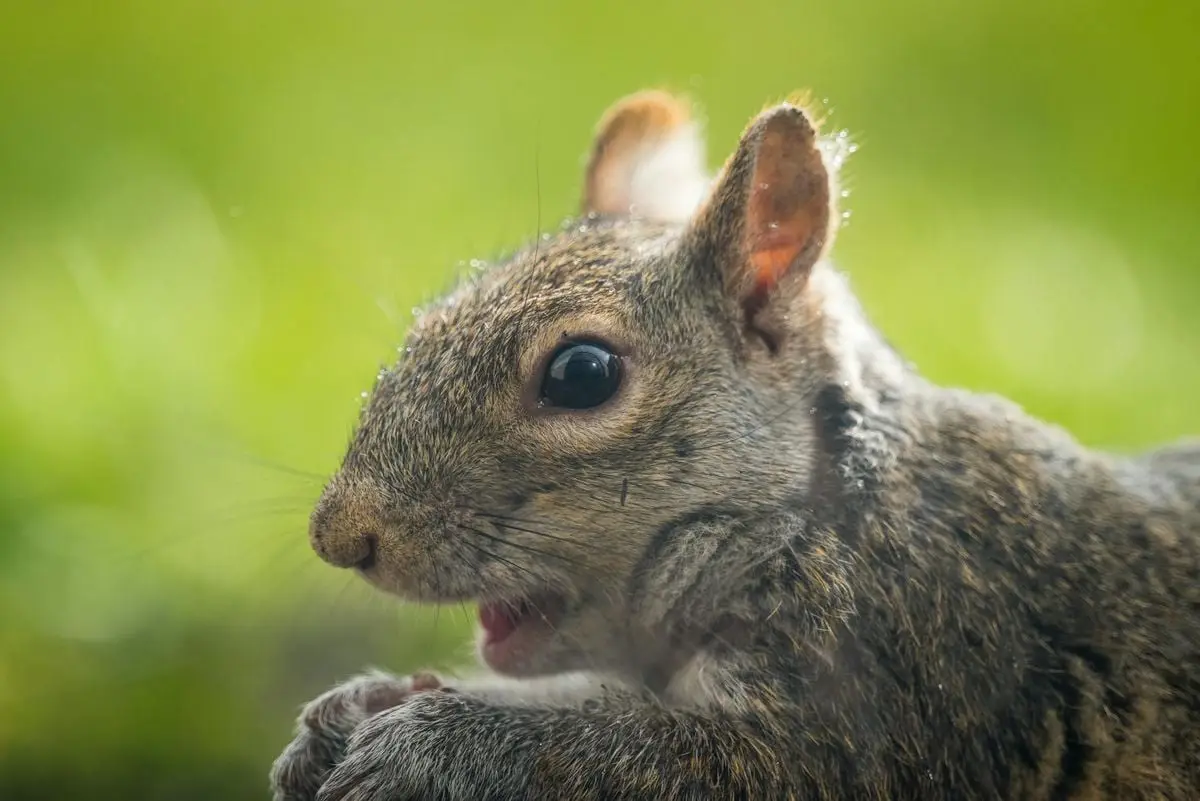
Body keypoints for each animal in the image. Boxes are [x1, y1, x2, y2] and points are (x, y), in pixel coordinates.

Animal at [269, 89, 1200, 801]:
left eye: (582, 373)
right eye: (427, 321)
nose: (340, 535)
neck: (828, 520)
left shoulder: (898, 684)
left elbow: (693, 762)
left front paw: (435, 741)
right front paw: (359, 706)